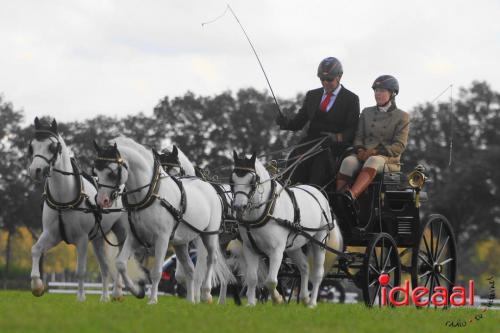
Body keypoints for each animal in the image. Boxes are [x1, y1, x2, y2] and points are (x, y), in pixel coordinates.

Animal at [27, 118, 127, 302]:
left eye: (52, 147)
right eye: (32, 146)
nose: (35, 170)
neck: (63, 199)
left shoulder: (81, 239)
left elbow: (80, 270)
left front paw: (80, 297)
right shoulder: (51, 234)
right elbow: (35, 249)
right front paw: (37, 285)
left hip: (121, 231)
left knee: (120, 258)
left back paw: (117, 292)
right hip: (98, 239)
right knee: (104, 266)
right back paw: (104, 297)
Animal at [94, 136, 232, 304]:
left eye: (112, 172)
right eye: (96, 171)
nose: (102, 200)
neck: (151, 195)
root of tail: (209, 187)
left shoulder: (162, 238)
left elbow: (156, 272)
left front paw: (152, 300)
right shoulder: (134, 237)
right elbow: (120, 263)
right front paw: (136, 291)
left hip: (208, 235)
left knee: (211, 259)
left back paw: (206, 294)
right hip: (181, 242)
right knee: (189, 268)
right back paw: (191, 300)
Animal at [231, 150, 344, 306]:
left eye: (252, 181)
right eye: (232, 179)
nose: (238, 207)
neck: (267, 210)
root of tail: (319, 192)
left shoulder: (276, 250)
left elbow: (271, 281)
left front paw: (277, 299)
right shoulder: (250, 248)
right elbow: (252, 278)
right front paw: (251, 304)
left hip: (320, 240)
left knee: (317, 273)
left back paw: (312, 303)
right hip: (293, 246)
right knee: (304, 267)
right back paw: (304, 297)